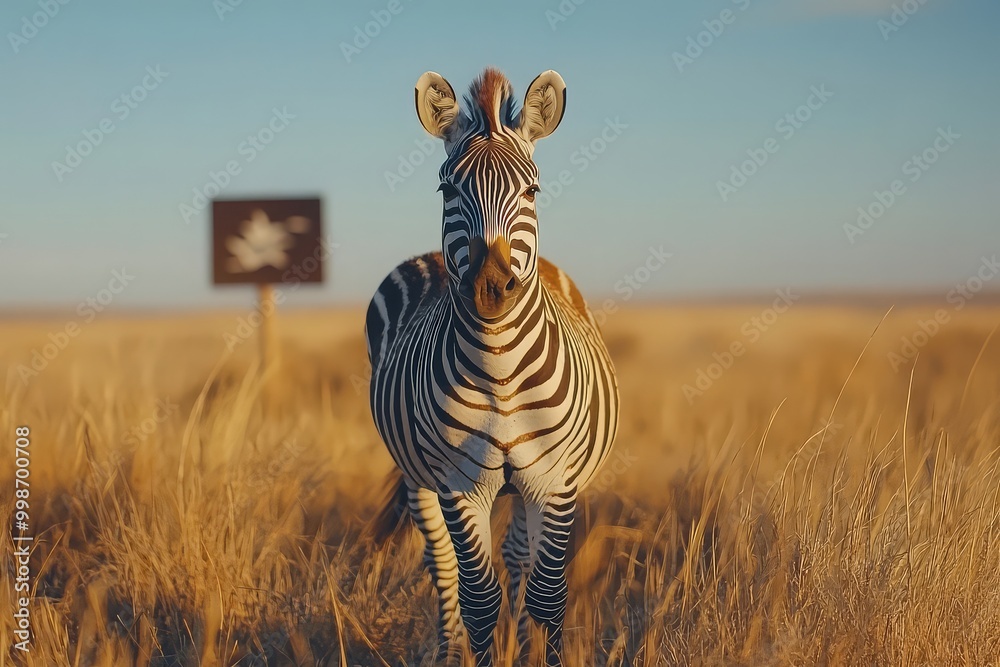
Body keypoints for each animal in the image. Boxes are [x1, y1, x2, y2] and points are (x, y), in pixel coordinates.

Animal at [366, 67, 619, 666]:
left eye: (532, 191)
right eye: (447, 190)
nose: (489, 288)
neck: (499, 371)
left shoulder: (555, 481)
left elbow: (549, 597)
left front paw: (535, 651)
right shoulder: (460, 485)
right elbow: (479, 600)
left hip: (527, 487)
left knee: (520, 558)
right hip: (418, 478)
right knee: (442, 566)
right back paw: (446, 651)